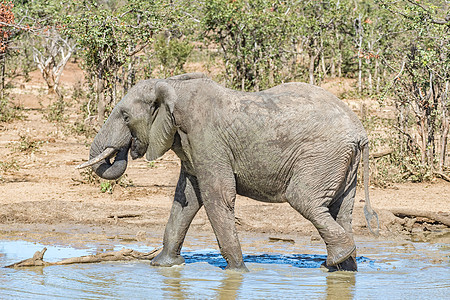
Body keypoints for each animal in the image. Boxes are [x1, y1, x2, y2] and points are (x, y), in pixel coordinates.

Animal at [78, 72, 380, 272]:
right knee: (341, 210)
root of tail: (361, 133)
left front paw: (237, 272)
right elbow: (187, 199)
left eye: (125, 116)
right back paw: (342, 270)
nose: (124, 149)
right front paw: (163, 265)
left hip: (321, 156)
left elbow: (217, 197)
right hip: (342, 163)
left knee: (304, 200)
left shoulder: (207, 139)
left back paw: (336, 259)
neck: (174, 86)